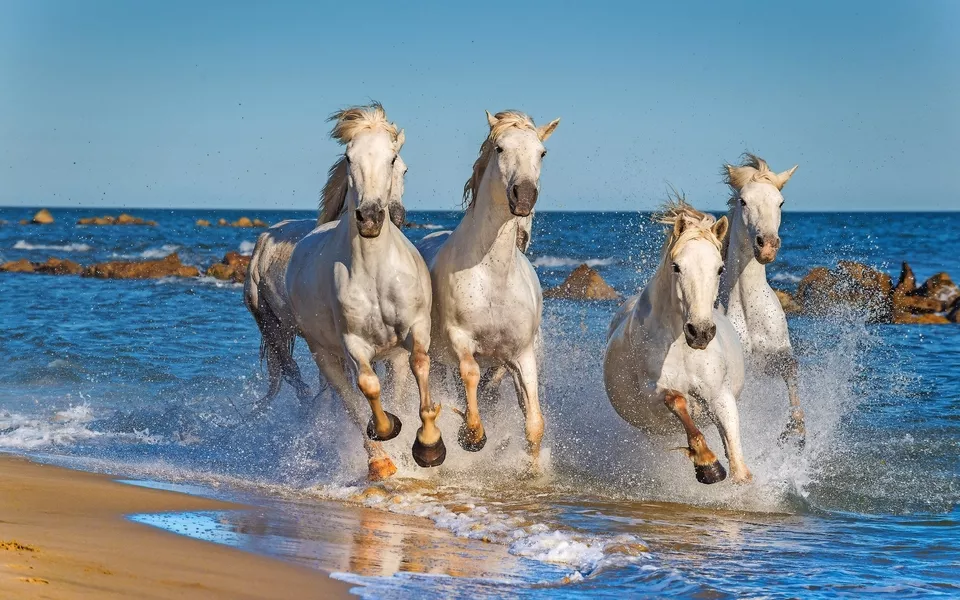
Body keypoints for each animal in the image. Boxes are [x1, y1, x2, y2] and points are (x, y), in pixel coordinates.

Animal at [284, 102, 436, 478]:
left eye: (395, 160)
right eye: (349, 157)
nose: (370, 217)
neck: (374, 271)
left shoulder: (415, 331)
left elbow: (420, 367)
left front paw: (429, 446)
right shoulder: (353, 344)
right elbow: (368, 389)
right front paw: (387, 431)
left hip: (391, 357)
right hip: (325, 355)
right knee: (351, 399)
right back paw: (380, 461)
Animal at [416, 110, 560, 472]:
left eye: (542, 152)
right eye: (499, 148)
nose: (524, 196)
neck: (494, 278)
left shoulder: (521, 355)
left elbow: (534, 422)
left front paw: (533, 471)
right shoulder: (460, 339)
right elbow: (469, 373)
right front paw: (472, 436)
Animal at [604, 200, 752, 482]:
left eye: (720, 268)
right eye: (677, 267)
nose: (700, 332)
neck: (682, 347)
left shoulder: (720, 395)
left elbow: (738, 461)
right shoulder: (653, 393)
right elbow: (678, 400)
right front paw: (708, 464)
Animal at [720, 155, 804, 446]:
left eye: (780, 202)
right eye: (743, 201)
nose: (767, 245)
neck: (749, 310)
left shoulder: (775, 355)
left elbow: (791, 369)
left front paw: (796, 429)